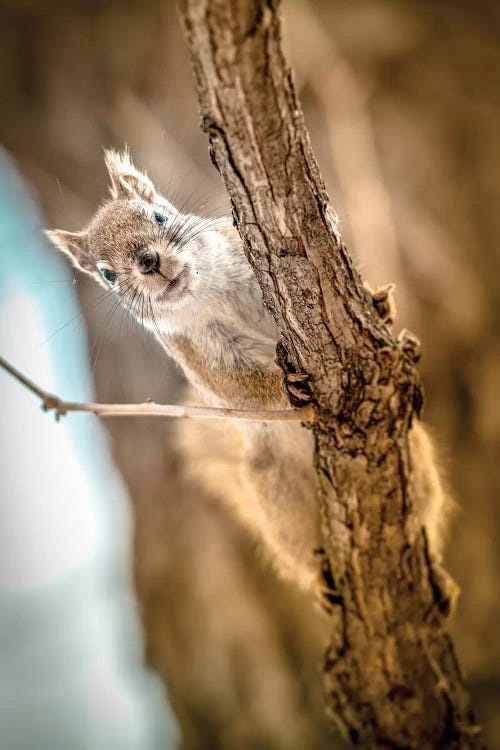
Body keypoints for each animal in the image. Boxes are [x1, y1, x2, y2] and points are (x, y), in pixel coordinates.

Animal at [46, 151, 454, 612]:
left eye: (159, 216)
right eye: (107, 275)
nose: (148, 261)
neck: (207, 292)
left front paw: (380, 304)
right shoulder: (197, 355)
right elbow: (239, 388)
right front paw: (286, 388)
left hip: (419, 464)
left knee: (426, 513)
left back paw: (437, 570)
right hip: (277, 501)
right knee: (296, 551)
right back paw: (318, 578)